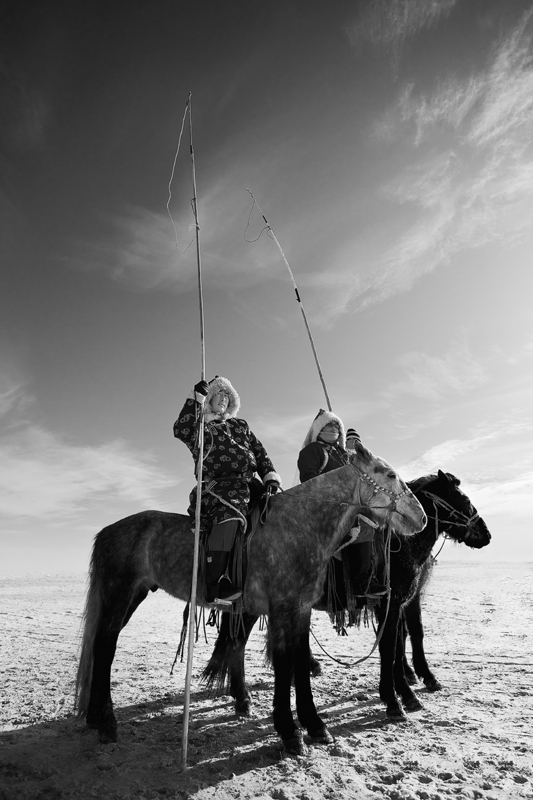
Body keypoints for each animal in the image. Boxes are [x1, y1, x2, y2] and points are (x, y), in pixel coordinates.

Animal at [75, 446, 426, 752]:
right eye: (390, 474)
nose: (420, 517)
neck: (301, 524)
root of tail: (106, 532)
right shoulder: (283, 608)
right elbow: (285, 663)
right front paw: (289, 731)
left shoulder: (300, 609)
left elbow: (299, 663)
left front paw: (314, 725)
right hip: (119, 595)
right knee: (104, 648)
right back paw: (106, 722)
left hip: (133, 596)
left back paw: (94, 716)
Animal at [205, 468, 490, 724]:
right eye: (464, 500)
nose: (486, 534)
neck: (400, 544)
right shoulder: (391, 604)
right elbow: (391, 648)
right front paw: (397, 698)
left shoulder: (400, 603)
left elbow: (401, 642)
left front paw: (407, 687)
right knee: (237, 644)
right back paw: (243, 697)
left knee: (236, 643)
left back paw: (242, 697)